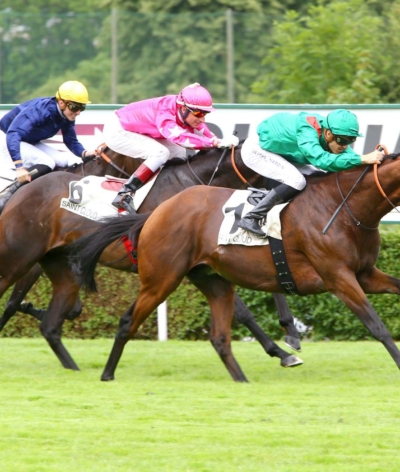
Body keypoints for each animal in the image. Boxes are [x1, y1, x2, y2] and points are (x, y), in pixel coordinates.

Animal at [0, 144, 302, 368]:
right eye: (281, 171)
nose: (270, 205)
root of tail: (20, 189)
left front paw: (291, 334)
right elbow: (243, 312)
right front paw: (281, 351)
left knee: (34, 306)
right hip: (23, 254)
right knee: (13, 299)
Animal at [69, 156, 400, 384]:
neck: (343, 207)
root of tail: (154, 213)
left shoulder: (365, 275)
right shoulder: (339, 278)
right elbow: (376, 325)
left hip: (214, 281)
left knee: (219, 336)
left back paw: (242, 379)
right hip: (161, 280)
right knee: (128, 320)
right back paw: (107, 374)